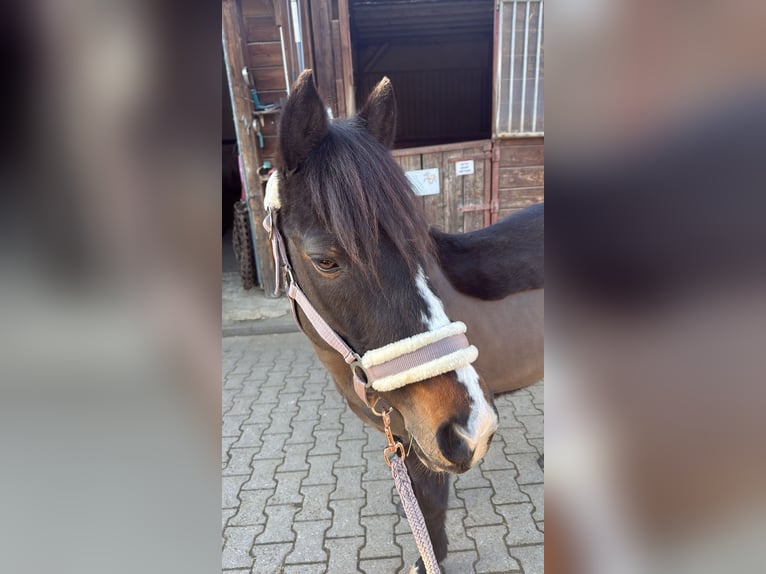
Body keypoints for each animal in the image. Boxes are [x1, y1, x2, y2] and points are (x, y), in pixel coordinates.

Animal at [269, 69, 543, 572]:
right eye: (325, 260)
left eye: (420, 244)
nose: (474, 426)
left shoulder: (419, 437)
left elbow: (430, 501)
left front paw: (429, 555)